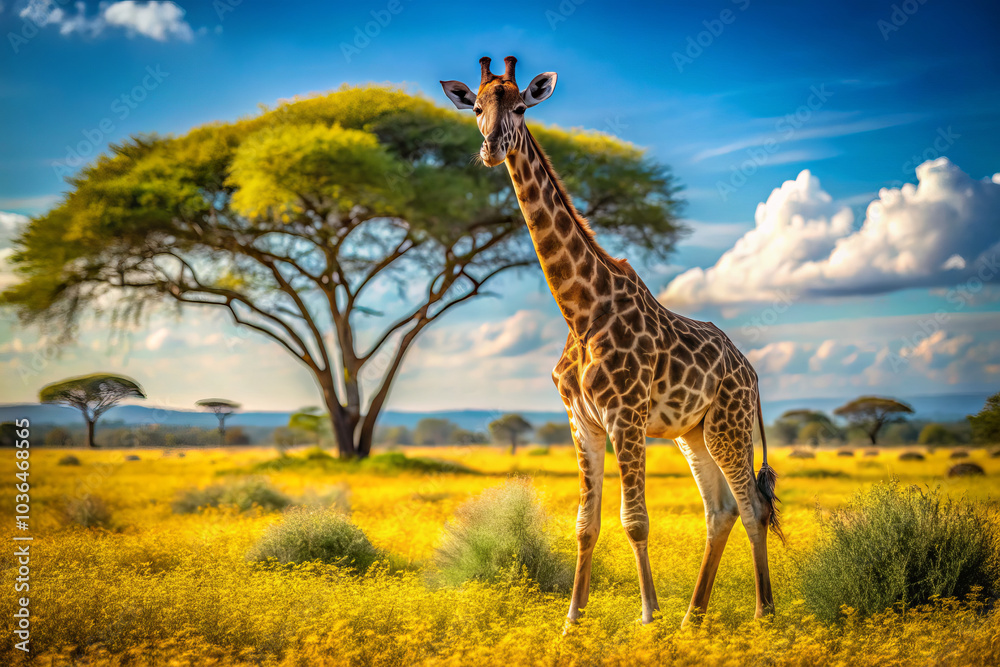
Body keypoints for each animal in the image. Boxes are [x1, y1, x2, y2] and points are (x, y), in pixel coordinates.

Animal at [441, 56, 783, 626]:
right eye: (475, 108)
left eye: (520, 106)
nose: (491, 147)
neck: (581, 311)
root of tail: (751, 372)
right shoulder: (582, 421)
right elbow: (587, 523)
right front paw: (571, 621)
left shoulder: (626, 415)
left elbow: (635, 519)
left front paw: (648, 617)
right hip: (694, 432)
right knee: (721, 510)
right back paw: (694, 618)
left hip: (729, 425)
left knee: (753, 508)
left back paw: (762, 615)